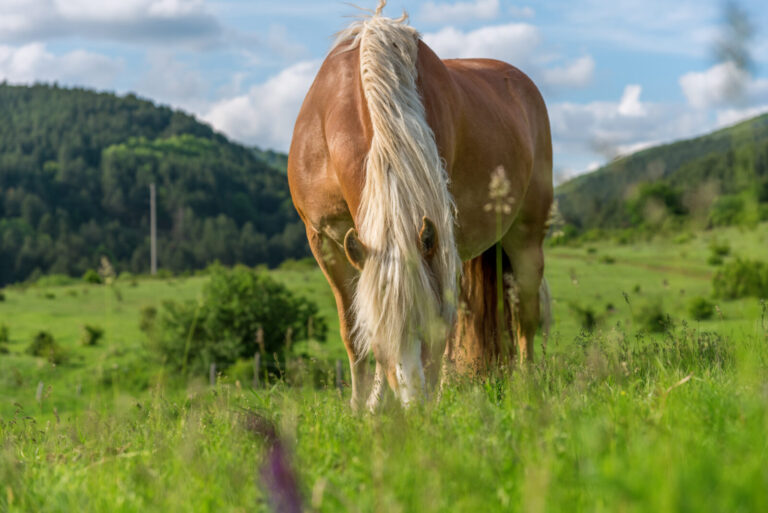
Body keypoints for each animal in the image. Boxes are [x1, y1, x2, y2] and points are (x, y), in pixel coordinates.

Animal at [288, 1, 552, 408]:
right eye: (381, 336)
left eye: (430, 326)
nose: (415, 408)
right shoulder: (325, 243)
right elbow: (351, 330)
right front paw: (363, 407)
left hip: (525, 235)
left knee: (525, 314)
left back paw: (525, 386)